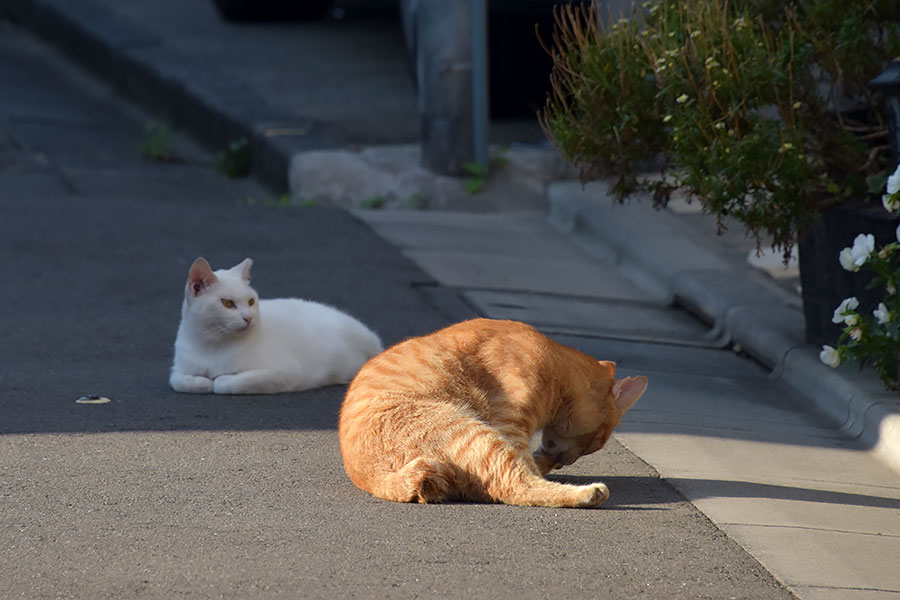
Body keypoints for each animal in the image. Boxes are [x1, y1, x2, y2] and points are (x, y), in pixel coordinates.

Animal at [170, 256, 384, 394]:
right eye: (227, 303)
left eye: (251, 301)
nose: (248, 318)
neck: (213, 344)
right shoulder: (178, 370)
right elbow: (179, 381)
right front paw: (201, 382)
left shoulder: (284, 372)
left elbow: (225, 383)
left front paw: (216, 381)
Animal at [340, 316, 648, 508]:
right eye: (595, 443)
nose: (567, 462)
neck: (555, 361)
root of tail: (371, 479)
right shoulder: (510, 422)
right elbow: (526, 465)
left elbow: (534, 462)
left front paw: (546, 462)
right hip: (472, 433)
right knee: (515, 486)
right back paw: (589, 493)